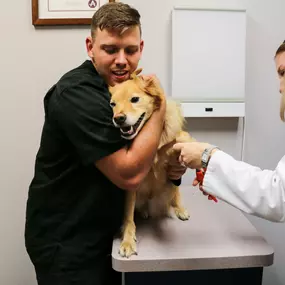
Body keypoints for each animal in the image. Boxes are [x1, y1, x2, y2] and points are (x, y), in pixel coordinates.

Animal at [108, 69, 193, 258]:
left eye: (134, 99)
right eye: (113, 104)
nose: (118, 119)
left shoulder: (176, 137)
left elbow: (183, 139)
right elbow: (128, 218)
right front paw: (127, 241)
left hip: (170, 187)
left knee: (176, 194)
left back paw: (180, 209)